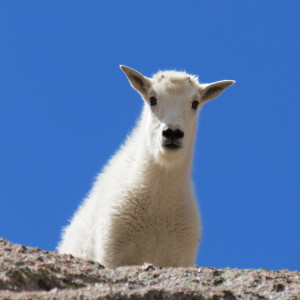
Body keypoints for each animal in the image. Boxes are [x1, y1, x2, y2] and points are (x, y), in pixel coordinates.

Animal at [57, 65, 236, 268]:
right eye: (152, 99)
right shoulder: (112, 254)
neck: (159, 206)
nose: (172, 133)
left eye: (195, 103)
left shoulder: (178, 258)